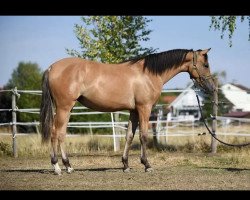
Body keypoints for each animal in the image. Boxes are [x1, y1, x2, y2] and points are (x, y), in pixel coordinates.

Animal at [40, 47, 214, 174]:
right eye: (206, 65)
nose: (211, 88)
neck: (148, 74)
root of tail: (51, 68)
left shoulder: (134, 111)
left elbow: (129, 135)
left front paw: (126, 165)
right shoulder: (144, 108)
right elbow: (143, 135)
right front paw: (147, 165)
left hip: (66, 108)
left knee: (59, 133)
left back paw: (64, 165)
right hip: (64, 107)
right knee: (57, 133)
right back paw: (60, 167)